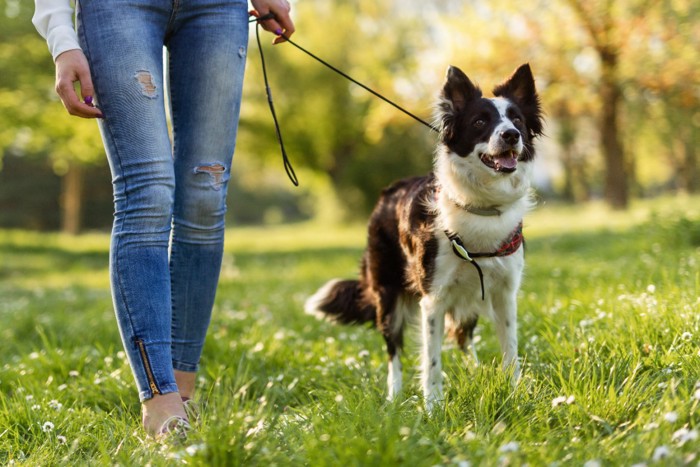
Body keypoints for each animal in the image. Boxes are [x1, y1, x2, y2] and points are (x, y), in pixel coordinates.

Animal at [304, 64, 540, 412]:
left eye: (518, 120)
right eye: (480, 122)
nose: (512, 135)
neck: (481, 205)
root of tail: (387, 194)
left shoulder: (503, 293)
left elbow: (510, 348)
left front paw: (515, 393)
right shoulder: (433, 298)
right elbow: (431, 360)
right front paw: (433, 407)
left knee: (463, 338)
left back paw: (475, 372)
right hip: (388, 296)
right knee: (394, 353)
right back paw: (394, 397)